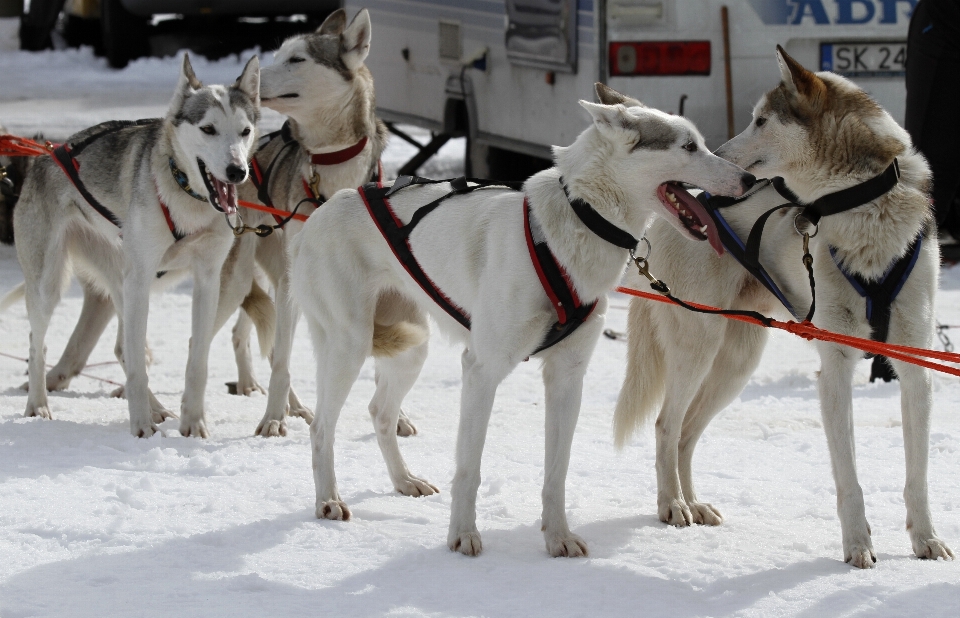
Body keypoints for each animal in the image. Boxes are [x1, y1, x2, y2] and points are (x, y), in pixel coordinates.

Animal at [15, 54, 262, 438]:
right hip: (52, 287)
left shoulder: (208, 280)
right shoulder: (142, 277)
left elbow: (198, 359)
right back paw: (38, 405)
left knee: (123, 348)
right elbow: (136, 367)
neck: (184, 193)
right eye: (208, 129)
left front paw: (193, 423)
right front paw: (141, 426)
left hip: (122, 281)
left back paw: (158, 408)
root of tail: (46, 153)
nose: (237, 171)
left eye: (244, 131)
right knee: (38, 345)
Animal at [288, 84, 752, 556]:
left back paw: (403, 480)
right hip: (350, 345)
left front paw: (558, 536)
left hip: (411, 348)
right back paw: (328, 499)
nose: (749, 180)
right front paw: (462, 534)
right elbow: (469, 468)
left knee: (381, 413)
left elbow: (556, 471)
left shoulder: (567, 377)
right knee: (322, 427)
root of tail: (321, 212)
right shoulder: (482, 370)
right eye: (688, 146)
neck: (577, 219)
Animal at [616, 47, 952, 568]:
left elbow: (917, 475)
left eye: (760, 120)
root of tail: (676, 212)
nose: (719, 157)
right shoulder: (836, 362)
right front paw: (857, 545)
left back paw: (693, 502)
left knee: (687, 433)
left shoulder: (914, 362)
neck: (862, 208)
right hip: (699, 349)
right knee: (666, 426)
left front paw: (926, 539)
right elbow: (849, 478)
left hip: (736, 363)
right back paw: (672, 505)